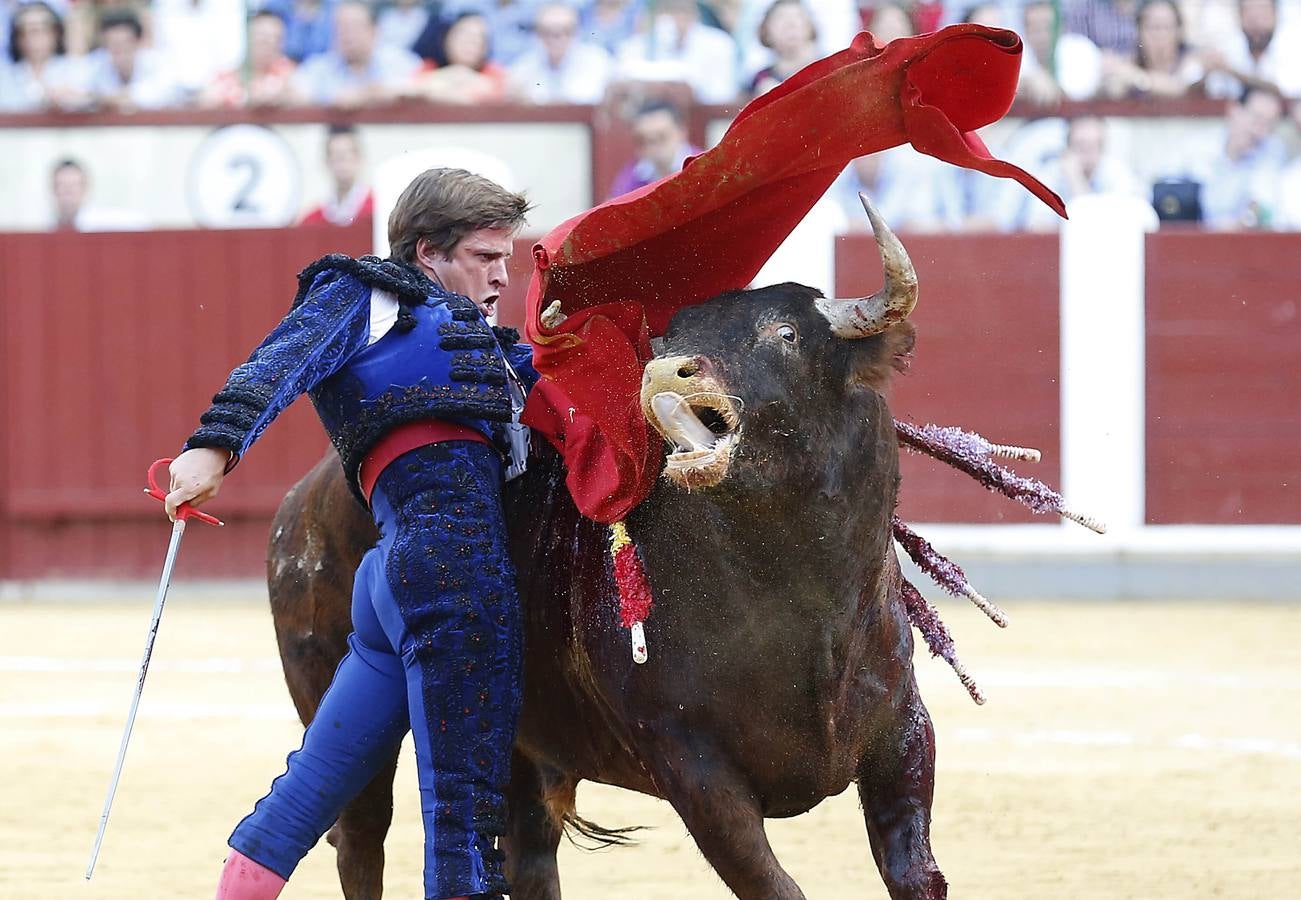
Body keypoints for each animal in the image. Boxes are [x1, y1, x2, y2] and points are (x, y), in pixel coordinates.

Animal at [269, 205, 952, 900]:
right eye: (667, 339)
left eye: (785, 333)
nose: (665, 372)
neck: (803, 597)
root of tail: (302, 500)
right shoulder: (693, 766)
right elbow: (773, 885)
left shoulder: (903, 734)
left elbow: (916, 873)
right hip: (334, 695)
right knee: (359, 836)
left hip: (523, 747)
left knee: (526, 856)